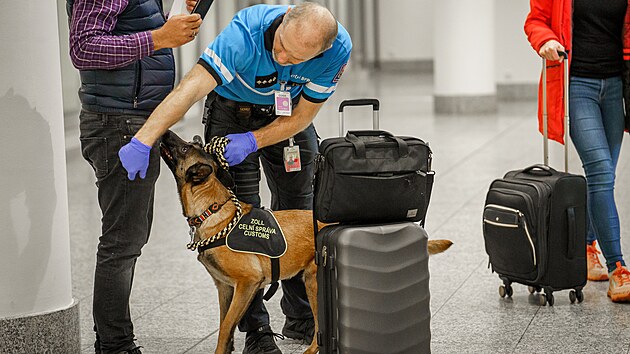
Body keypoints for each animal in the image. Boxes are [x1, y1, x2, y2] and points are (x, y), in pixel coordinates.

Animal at [160, 130, 452, 354]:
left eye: (185, 147)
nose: (164, 132)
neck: (212, 209)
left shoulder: (248, 283)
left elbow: (225, 329)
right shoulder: (225, 288)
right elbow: (225, 328)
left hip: (314, 282)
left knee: (319, 324)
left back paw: (313, 349)